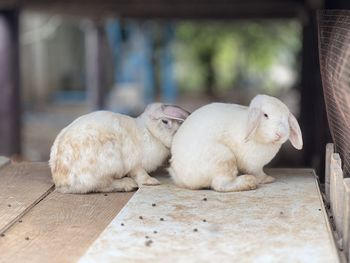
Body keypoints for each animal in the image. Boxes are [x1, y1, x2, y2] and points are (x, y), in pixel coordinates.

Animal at [50, 103, 189, 194]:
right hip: (110, 162)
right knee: (102, 185)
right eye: (165, 121)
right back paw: (128, 184)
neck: (149, 131)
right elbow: (140, 174)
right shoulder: (135, 165)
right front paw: (151, 181)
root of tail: (62, 182)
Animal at [168, 95, 302, 192]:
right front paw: (267, 179)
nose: (281, 133)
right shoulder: (253, 165)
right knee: (219, 184)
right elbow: (258, 173)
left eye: (286, 119)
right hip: (223, 158)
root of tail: (182, 177)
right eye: (265, 115)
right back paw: (248, 182)